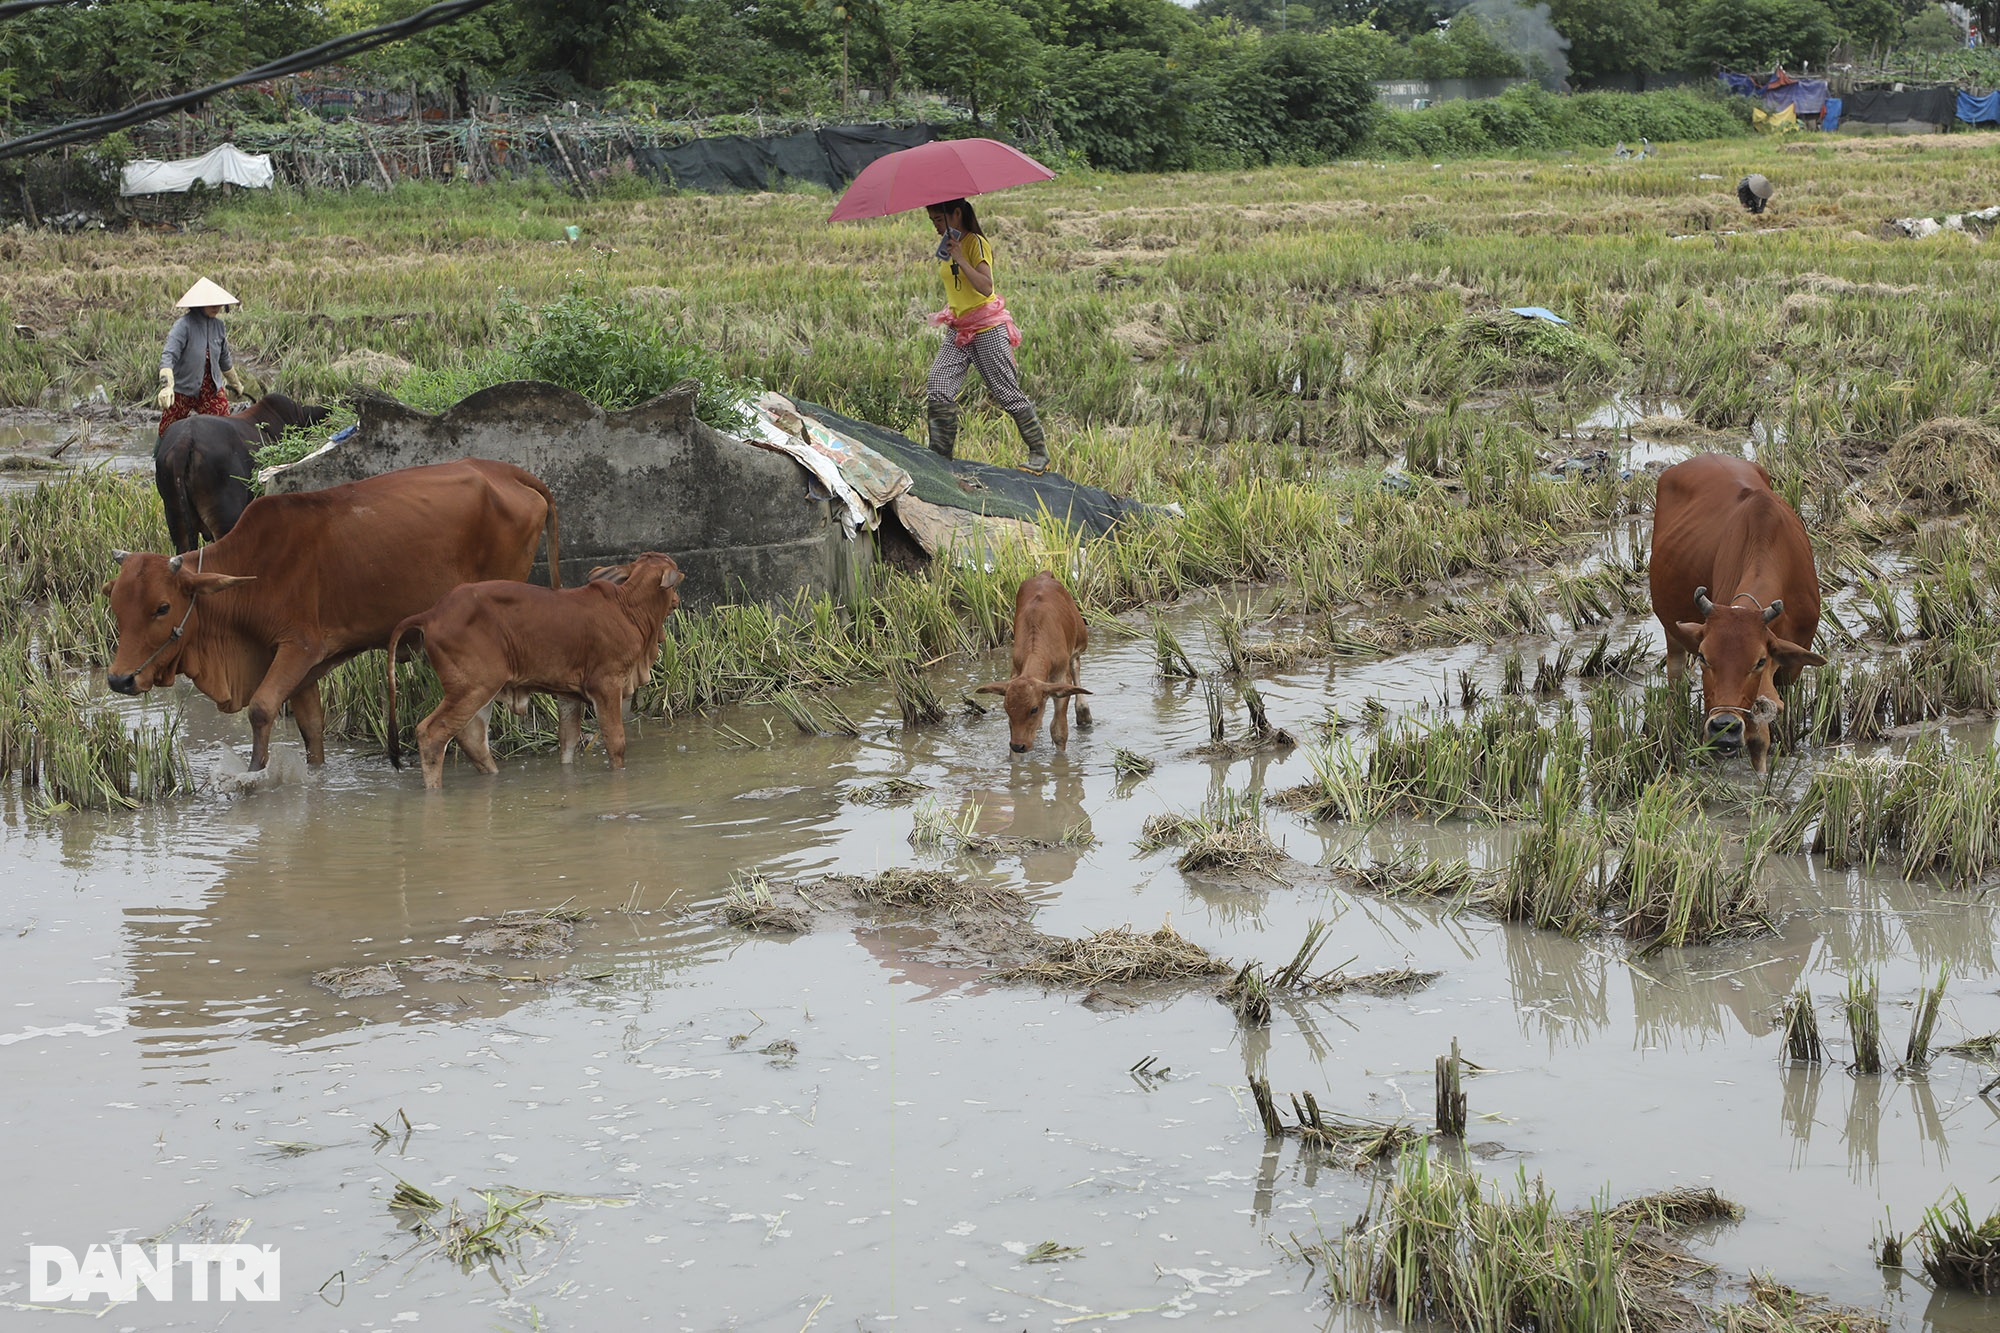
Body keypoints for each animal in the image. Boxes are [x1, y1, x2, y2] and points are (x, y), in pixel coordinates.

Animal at [109, 456, 564, 768]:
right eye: (114, 606)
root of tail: (505, 471)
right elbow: (311, 729)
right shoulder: (303, 667)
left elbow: (261, 710)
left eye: (162, 607)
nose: (119, 679)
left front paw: (254, 778)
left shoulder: (299, 647)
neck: (253, 570)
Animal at [382, 548, 688, 784]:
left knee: (473, 739)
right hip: (474, 687)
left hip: (478, 691)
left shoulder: (568, 694)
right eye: (676, 581)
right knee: (432, 734)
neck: (630, 608)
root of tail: (432, 613)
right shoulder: (606, 686)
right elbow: (616, 743)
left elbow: (568, 743)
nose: (677, 600)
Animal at [972, 572, 1088, 752]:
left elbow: (1059, 731)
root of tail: (1044, 575)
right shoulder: (1015, 672)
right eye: (1006, 708)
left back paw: (1084, 713)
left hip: (1081, 639)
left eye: (1034, 709)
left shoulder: (1062, 680)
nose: (1018, 745)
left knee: (1076, 666)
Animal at [1648, 454, 1824, 772]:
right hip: (1673, 631)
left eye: (1760, 661)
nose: (1725, 727)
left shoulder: (1792, 665)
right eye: (1704, 657)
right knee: (1675, 677)